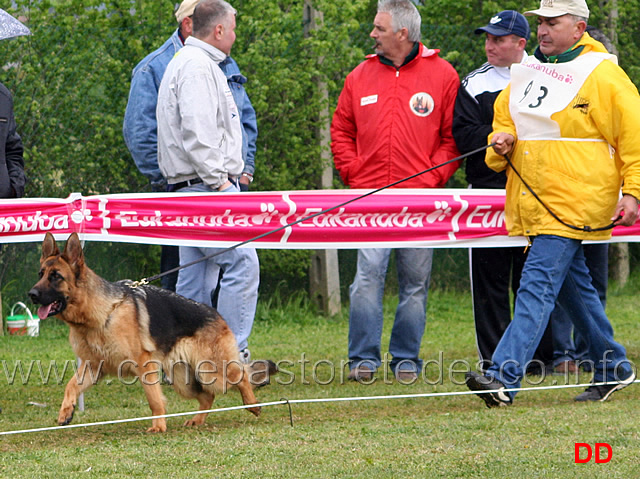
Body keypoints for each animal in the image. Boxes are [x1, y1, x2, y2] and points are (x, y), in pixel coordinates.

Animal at [28, 234, 260, 434]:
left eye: (56, 277)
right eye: (40, 274)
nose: (31, 294)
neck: (101, 314)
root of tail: (216, 313)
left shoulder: (143, 365)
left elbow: (154, 399)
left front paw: (159, 426)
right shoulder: (92, 367)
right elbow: (70, 386)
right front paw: (66, 412)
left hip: (211, 372)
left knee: (240, 375)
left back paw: (253, 404)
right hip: (183, 380)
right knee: (207, 396)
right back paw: (198, 420)